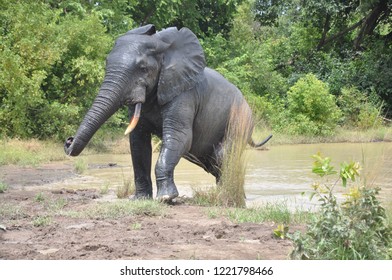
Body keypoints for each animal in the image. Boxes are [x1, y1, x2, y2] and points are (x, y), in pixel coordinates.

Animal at [65, 24, 272, 201]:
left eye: (143, 68)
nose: (68, 141)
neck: (163, 46)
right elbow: (138, 143)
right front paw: (140, 199)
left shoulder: (185, 94)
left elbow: (179, 137)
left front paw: (166, 198)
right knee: (214, 163)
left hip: (241, 120)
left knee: (222, 156)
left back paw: (229, 197)